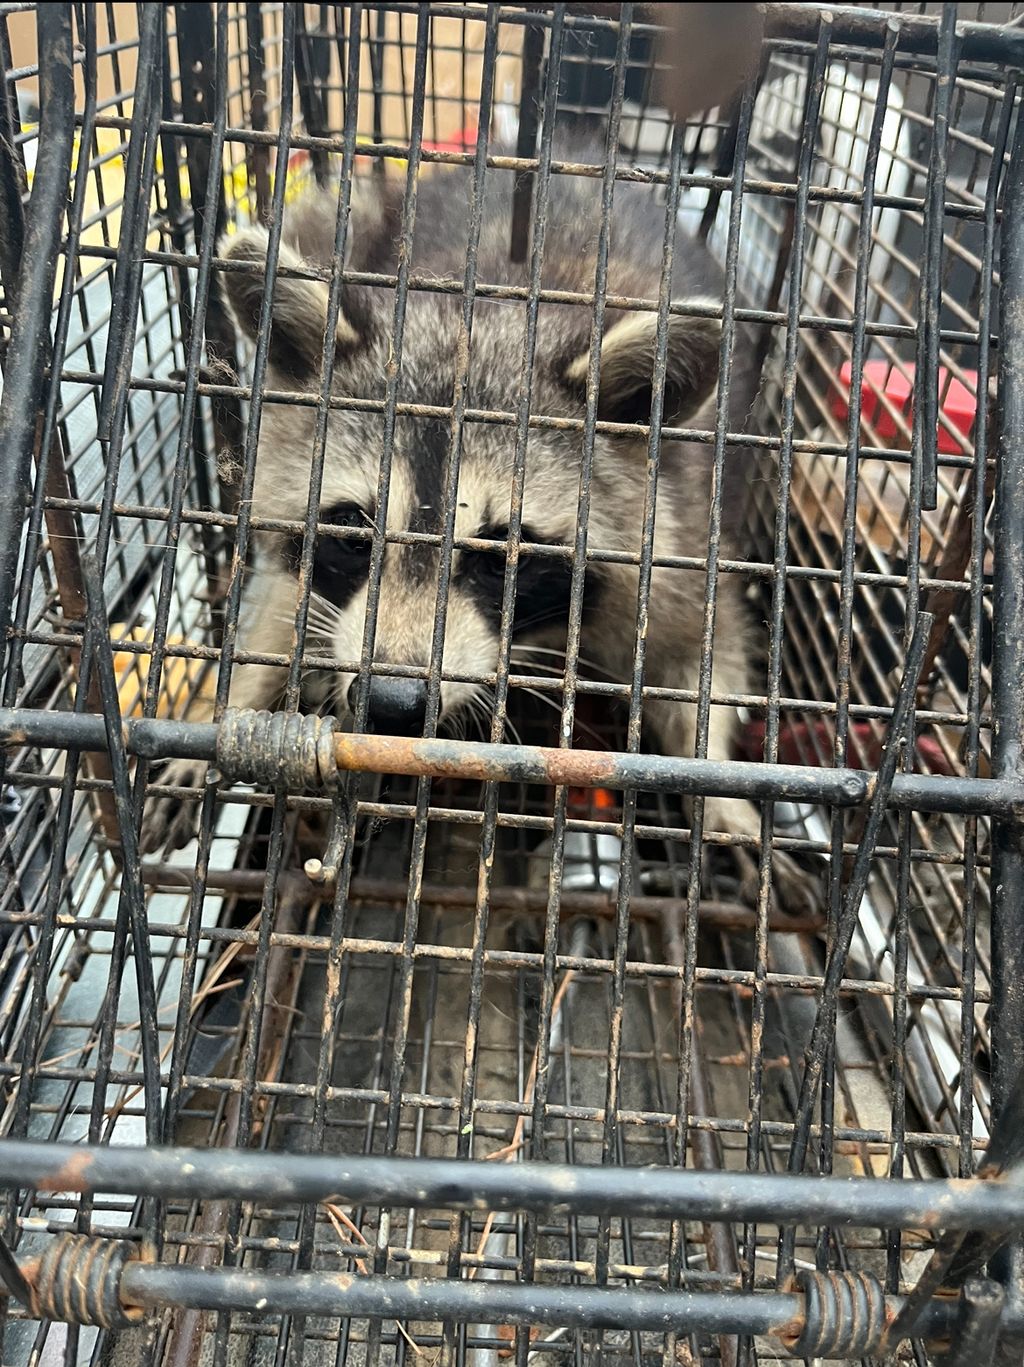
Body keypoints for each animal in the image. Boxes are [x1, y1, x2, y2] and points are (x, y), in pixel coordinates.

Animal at [140, 155, 803, 902]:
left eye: (502, 557)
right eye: (352, 534)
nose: (392, 703)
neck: (492, 310)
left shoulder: (682, 529)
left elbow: (697, 656)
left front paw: (722, 791)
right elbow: (286, 609)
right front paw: (217, 712)